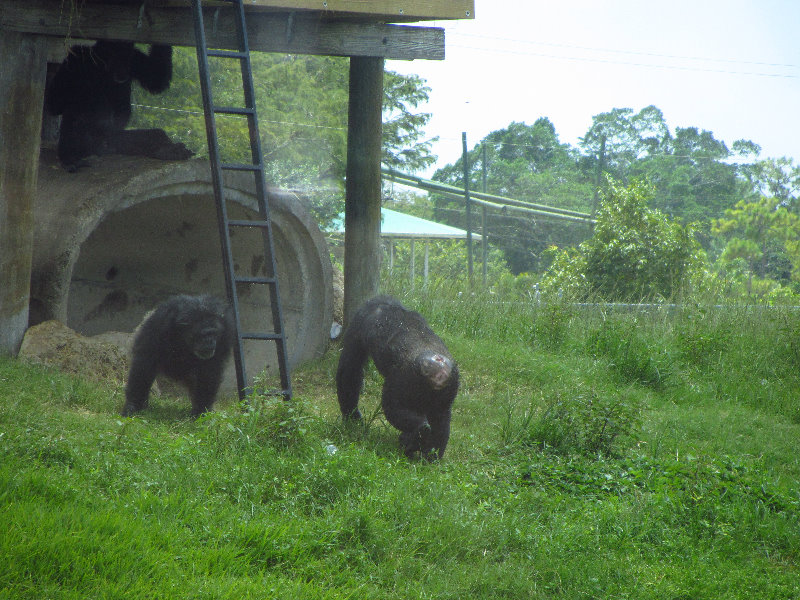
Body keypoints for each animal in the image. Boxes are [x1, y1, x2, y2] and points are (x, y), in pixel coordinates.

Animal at [45, 39, 192, 171]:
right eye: (117, 57)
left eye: (126, 58)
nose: (122, 69)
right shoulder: (74, 58)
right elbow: (54, 102)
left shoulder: (135, 58)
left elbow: (156, 78)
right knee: (72, 112)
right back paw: (70, 158)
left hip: (116, 140)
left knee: (151, 135)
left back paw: (168, 149)